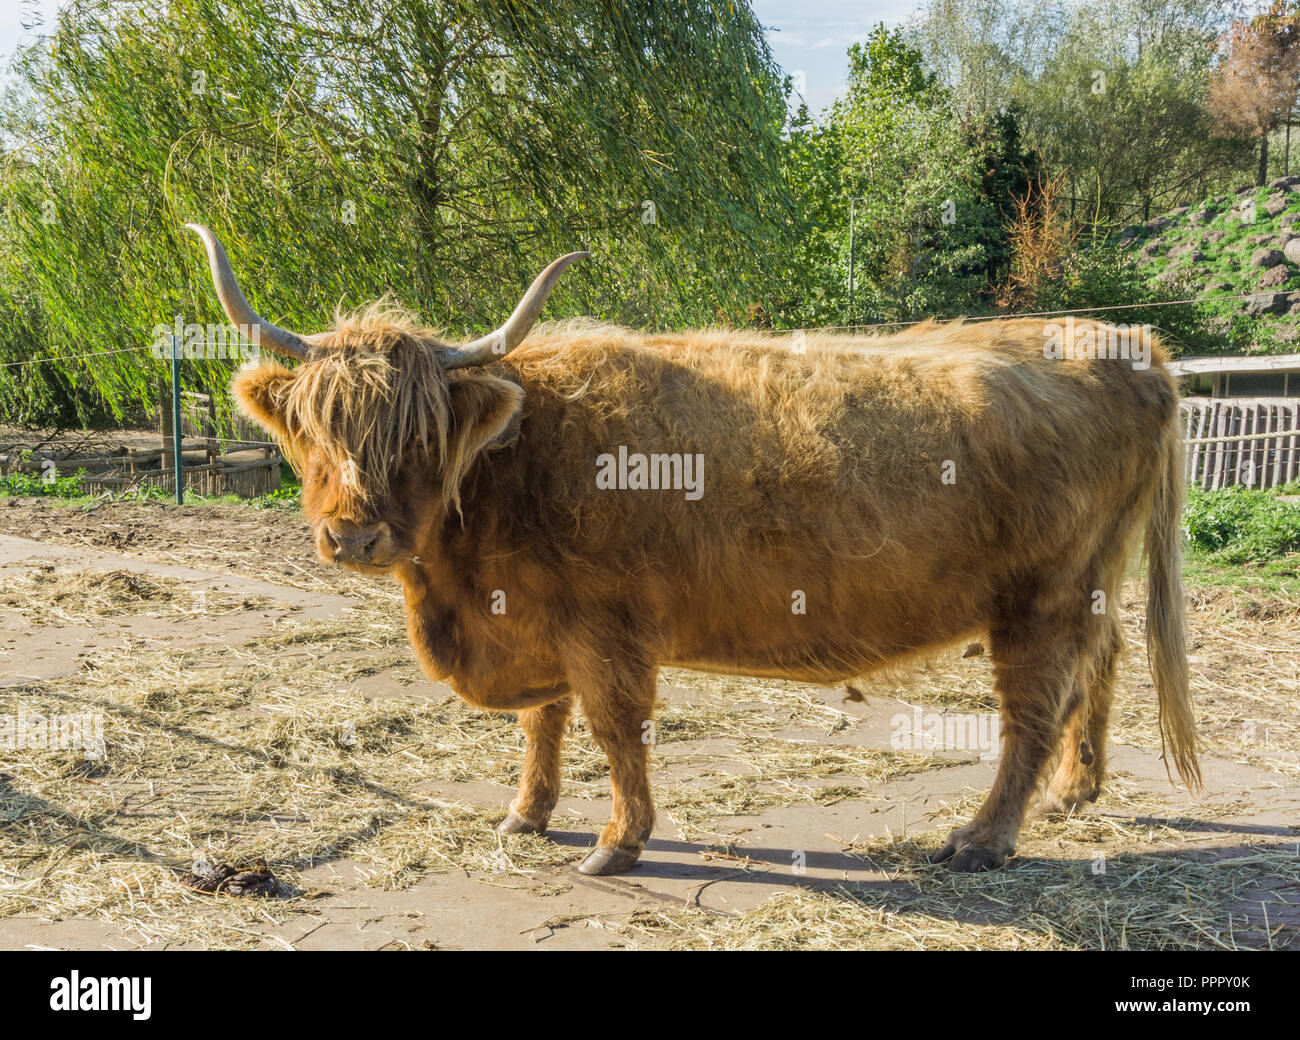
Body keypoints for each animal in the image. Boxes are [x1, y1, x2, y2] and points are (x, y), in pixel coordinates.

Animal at [185, 223, 1196, 873]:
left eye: (419, 436)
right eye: (316, 429)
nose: (352, 533)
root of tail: (1125, 341)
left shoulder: (604, 629)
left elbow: (613, 727)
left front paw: (616, 842)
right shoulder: (538, 625)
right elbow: (542, 724)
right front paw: (526, 816)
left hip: (1041, 596)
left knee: (1033, 709)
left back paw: (983, 839)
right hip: (1088, 586)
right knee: (1100, 670)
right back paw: (1073, 794)